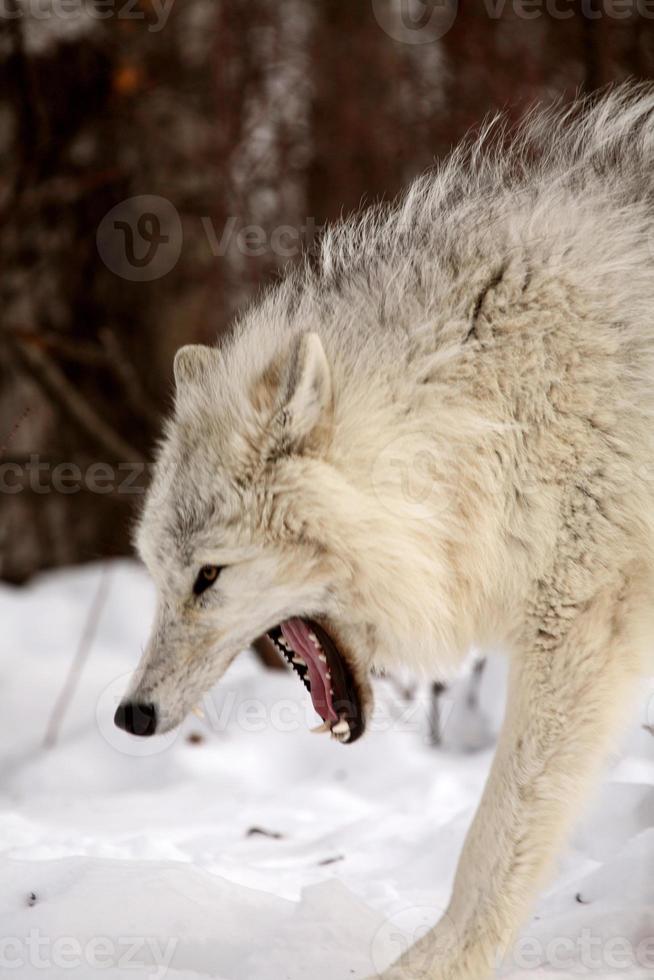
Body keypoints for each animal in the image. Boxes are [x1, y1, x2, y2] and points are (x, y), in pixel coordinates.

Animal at [116, 88, 654, 976]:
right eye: (160, 578)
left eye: (209, 577)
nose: (131, 716)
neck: (497, 410)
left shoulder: (580, 629)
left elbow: (492, 841)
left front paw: (433, 965)